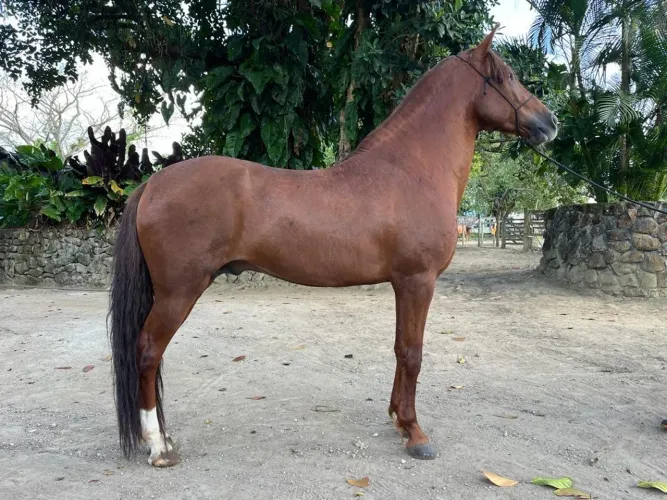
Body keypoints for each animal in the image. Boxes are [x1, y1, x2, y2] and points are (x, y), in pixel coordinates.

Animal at [109, 27, 558, 467]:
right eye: (509, 76)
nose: (550, 122)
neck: (411, 170)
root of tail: (152, 184)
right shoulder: (418, 281)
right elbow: (412, 353)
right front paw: (416, 434)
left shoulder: (403, 284)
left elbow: (399, 349)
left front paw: (398, 419)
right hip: (178, 293)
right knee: (147, 352)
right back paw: (158, 446)